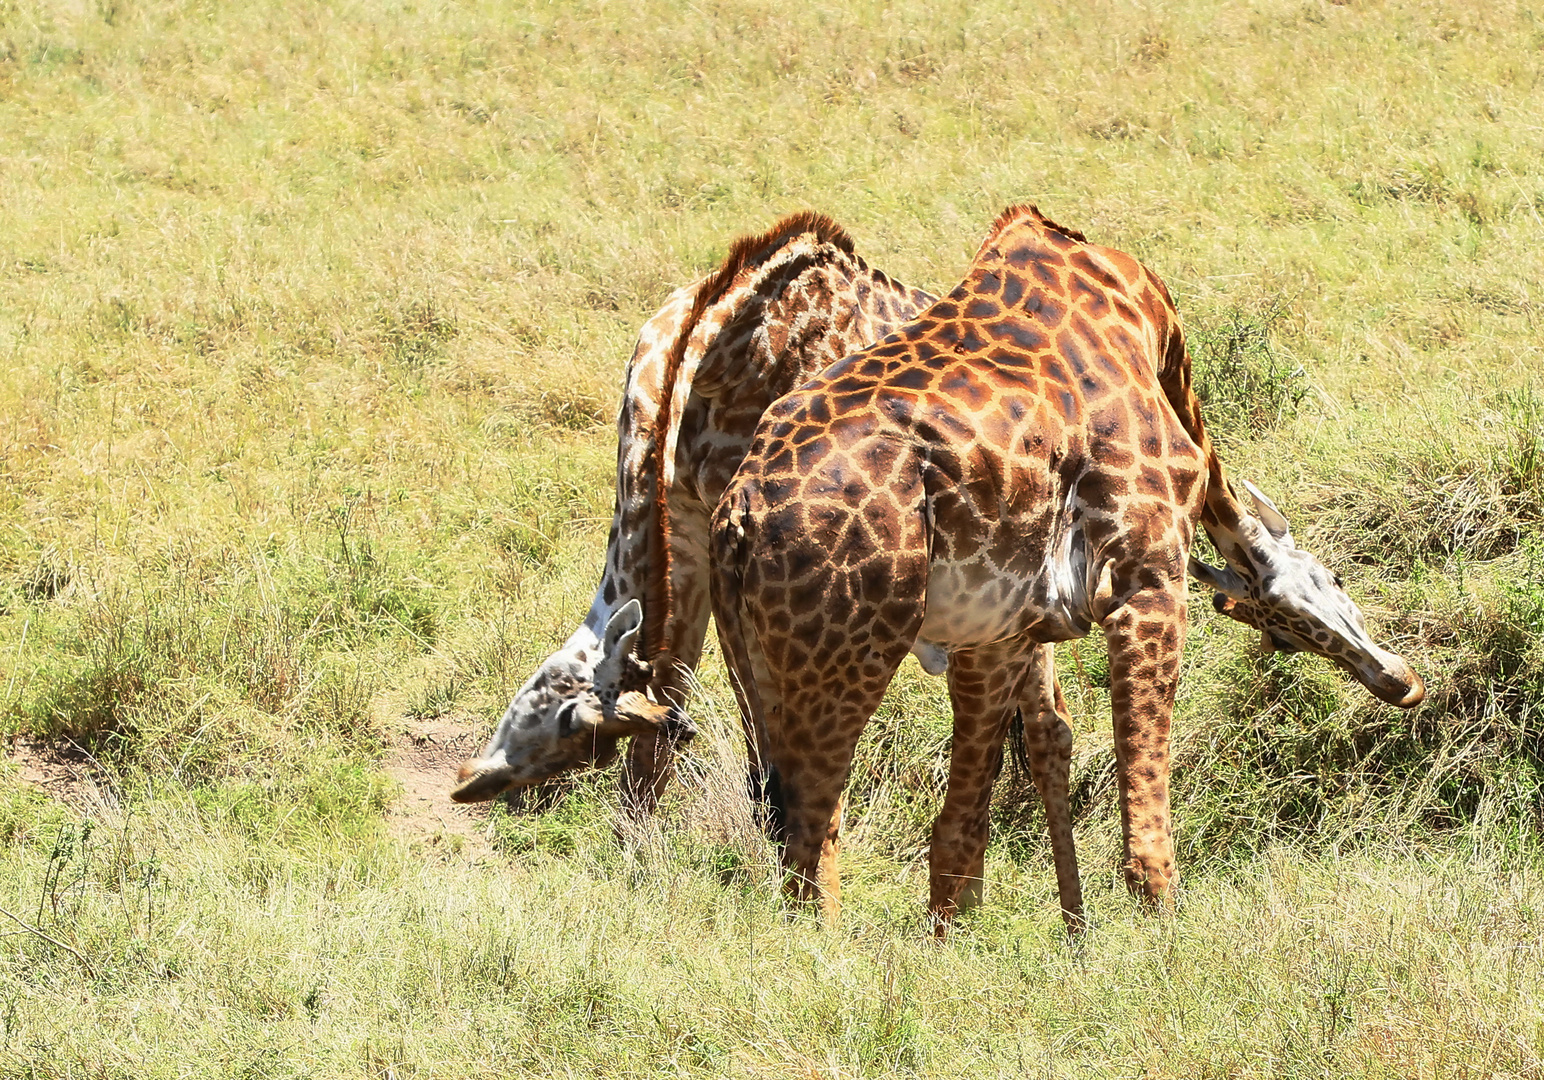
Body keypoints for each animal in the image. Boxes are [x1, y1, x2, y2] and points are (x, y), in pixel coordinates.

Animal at [707, 207, 1420, 933]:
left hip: (765, 671)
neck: (1146, 321)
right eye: (1286, 632)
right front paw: (1165, 943)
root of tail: (736, 514)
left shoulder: (995, 637)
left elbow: (961, 835)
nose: (1403, 683)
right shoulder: (1148, 576)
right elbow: (1144, 841)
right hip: (849, 654)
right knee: (809, 840)